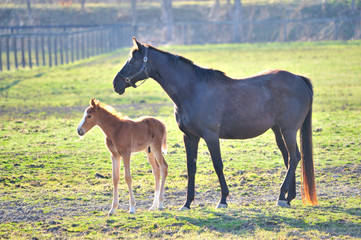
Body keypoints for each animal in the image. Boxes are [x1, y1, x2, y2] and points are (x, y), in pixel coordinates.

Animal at [112, 38, 316, 209]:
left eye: (132, 60)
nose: (116, 83)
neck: (193, 90)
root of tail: (299, 79)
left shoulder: (211, 136)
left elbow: (218, 165)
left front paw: (223, 200)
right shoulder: (190, 137)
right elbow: (191, 167)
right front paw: (187, 203)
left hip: (288, 130)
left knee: (295, 157)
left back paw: (281, 197)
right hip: (278, 131)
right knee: (288, 158)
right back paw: (288, 197)